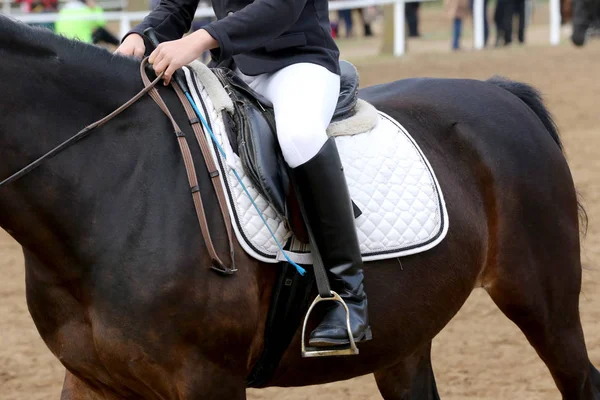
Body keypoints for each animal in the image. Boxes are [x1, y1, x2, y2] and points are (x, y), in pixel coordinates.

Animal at [1, 16, 600, 400]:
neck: (116, 181)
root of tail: (499, 92)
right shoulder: (90, 379)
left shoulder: (206, 379)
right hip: (406, 334)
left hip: (543, 303)